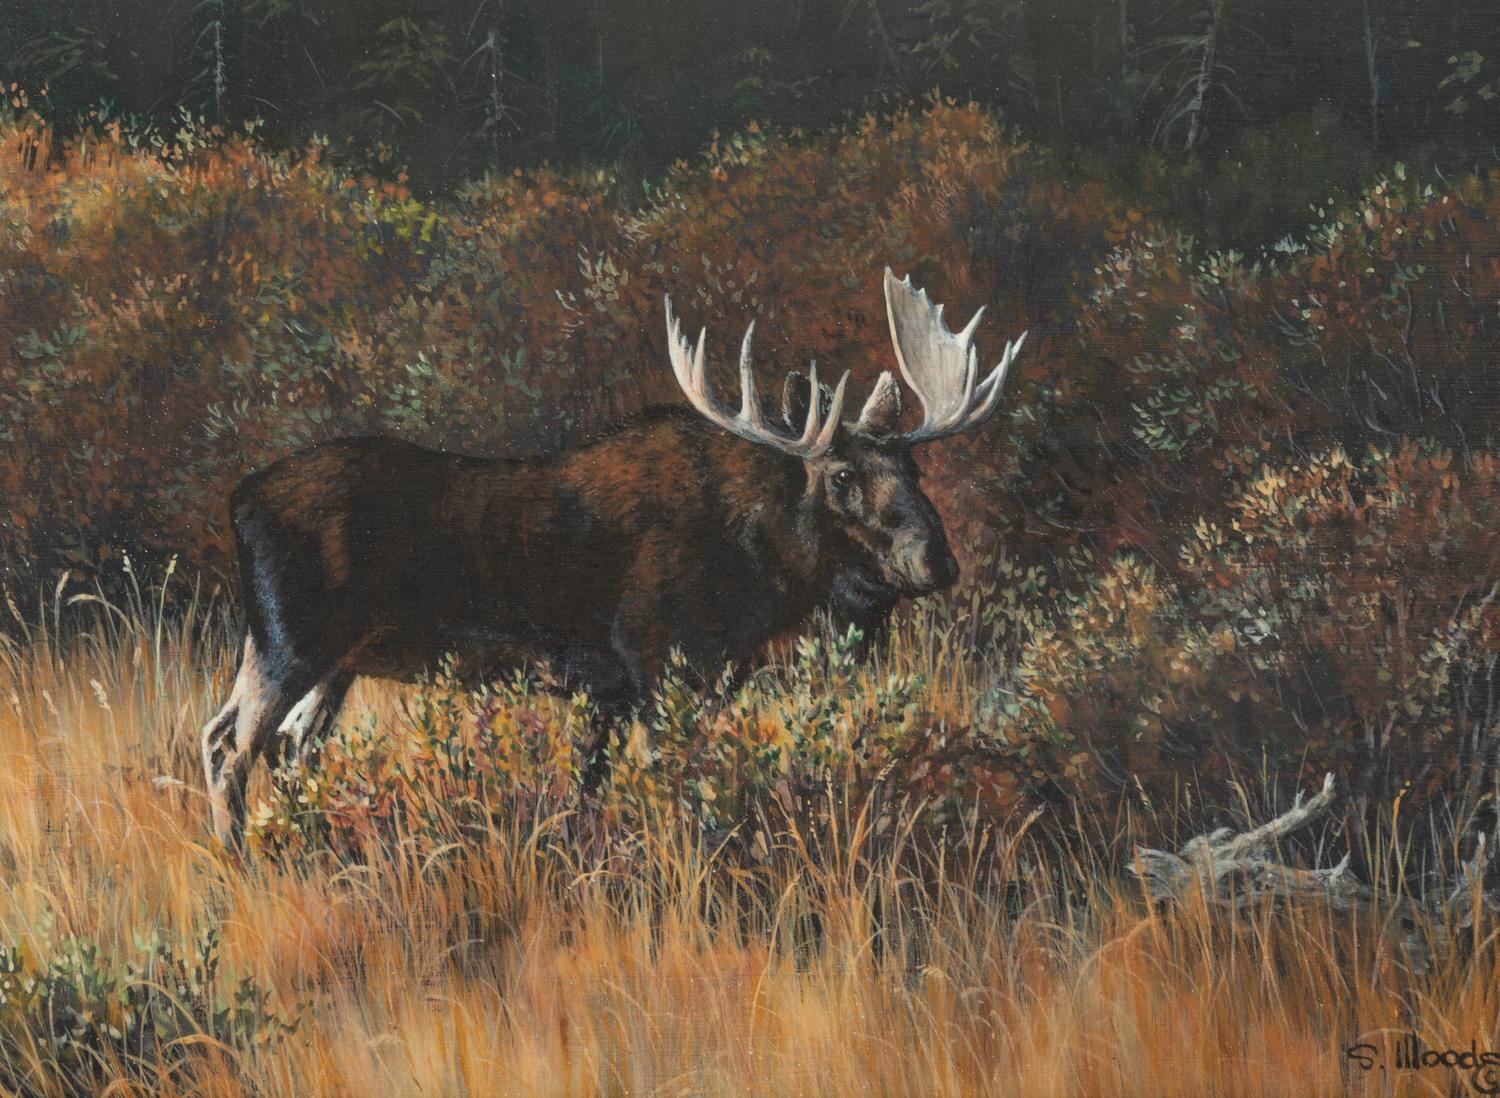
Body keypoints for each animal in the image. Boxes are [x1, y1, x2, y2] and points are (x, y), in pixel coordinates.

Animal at [200, 268, 1026, 844]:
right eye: (844, 477)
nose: (937, 561)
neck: (764, 571)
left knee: (289, 747)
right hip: (288, 640)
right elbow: (674, 786)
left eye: (916, 469)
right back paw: (238, 860)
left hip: (334, 661)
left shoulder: (616, 688)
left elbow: (590, 789)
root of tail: (237, 501)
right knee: (227, 743)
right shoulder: (663, 664)